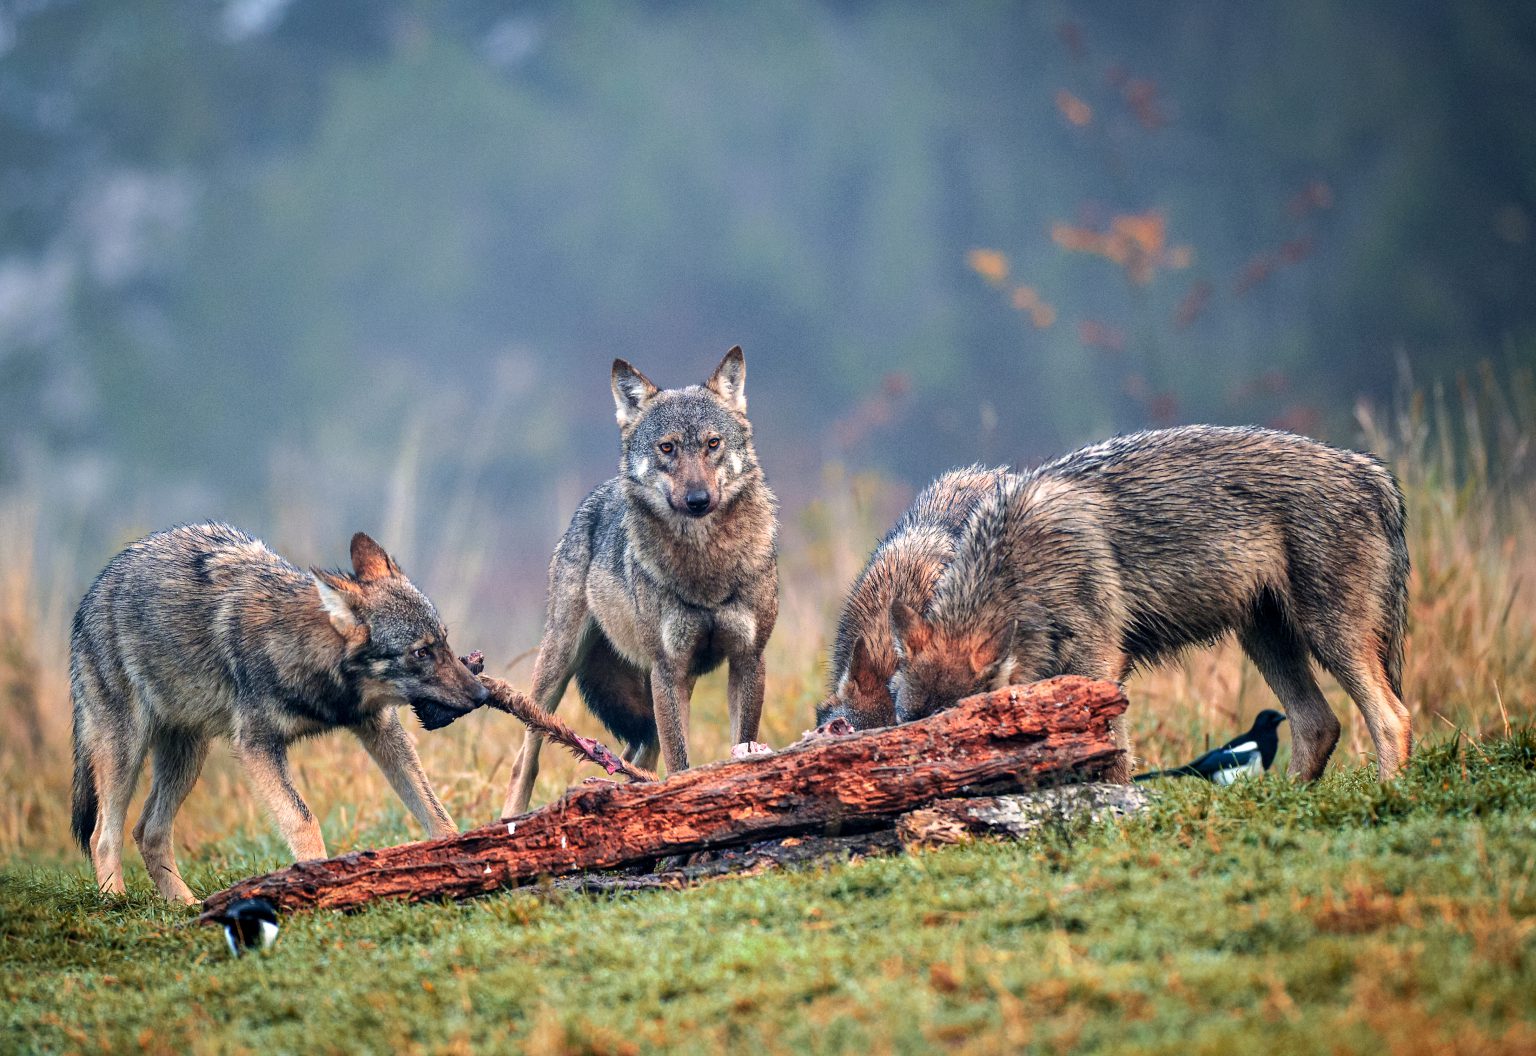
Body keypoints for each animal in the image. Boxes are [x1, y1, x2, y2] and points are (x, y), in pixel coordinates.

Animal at [70, 525, 487, 903]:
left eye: (444, 642)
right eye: (421, 652)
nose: (482, 694)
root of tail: (92, 594)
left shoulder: (380, 729)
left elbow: (435, 810)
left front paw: (463, 858)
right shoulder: (257, 746)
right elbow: (303, 820)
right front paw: (318, 886)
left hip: (187, 755)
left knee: (149, 831)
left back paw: (186, 908)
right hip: (129, 752)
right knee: (102, 835)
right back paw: (116, 904)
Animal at [502, 347, 779, 817]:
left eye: (713, 444)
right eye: (667, 448)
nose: (698, 500)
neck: (704, 568)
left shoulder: (748, 659)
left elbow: (740, 743)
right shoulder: (670, 671)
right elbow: (680, 763)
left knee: (632, 760)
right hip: (559, 667)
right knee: (527, 756)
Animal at [888, 426, 1411, 780]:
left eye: (959, 739)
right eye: (906, 732)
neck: (1019, 567)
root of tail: (1371, 470)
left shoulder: (1100, 670)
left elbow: (1112, 760)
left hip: (1329, 636)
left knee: (1392, 719)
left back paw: (1387, 793)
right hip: (1266, 640)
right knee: (1318, 725)